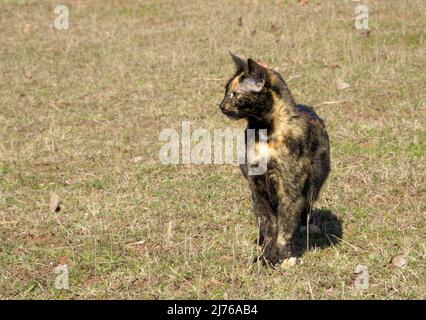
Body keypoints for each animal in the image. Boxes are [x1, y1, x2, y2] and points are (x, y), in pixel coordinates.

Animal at [218, 53, 332, 264]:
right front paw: (266, 256)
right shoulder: (257, 189)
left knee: (306, 209)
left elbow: (285, 228)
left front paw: (285, 257)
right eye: (225, 91)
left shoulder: (289, 190)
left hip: (313, 188)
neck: (262, 133)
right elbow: (268, 225)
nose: (221, 105)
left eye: (235, 94)